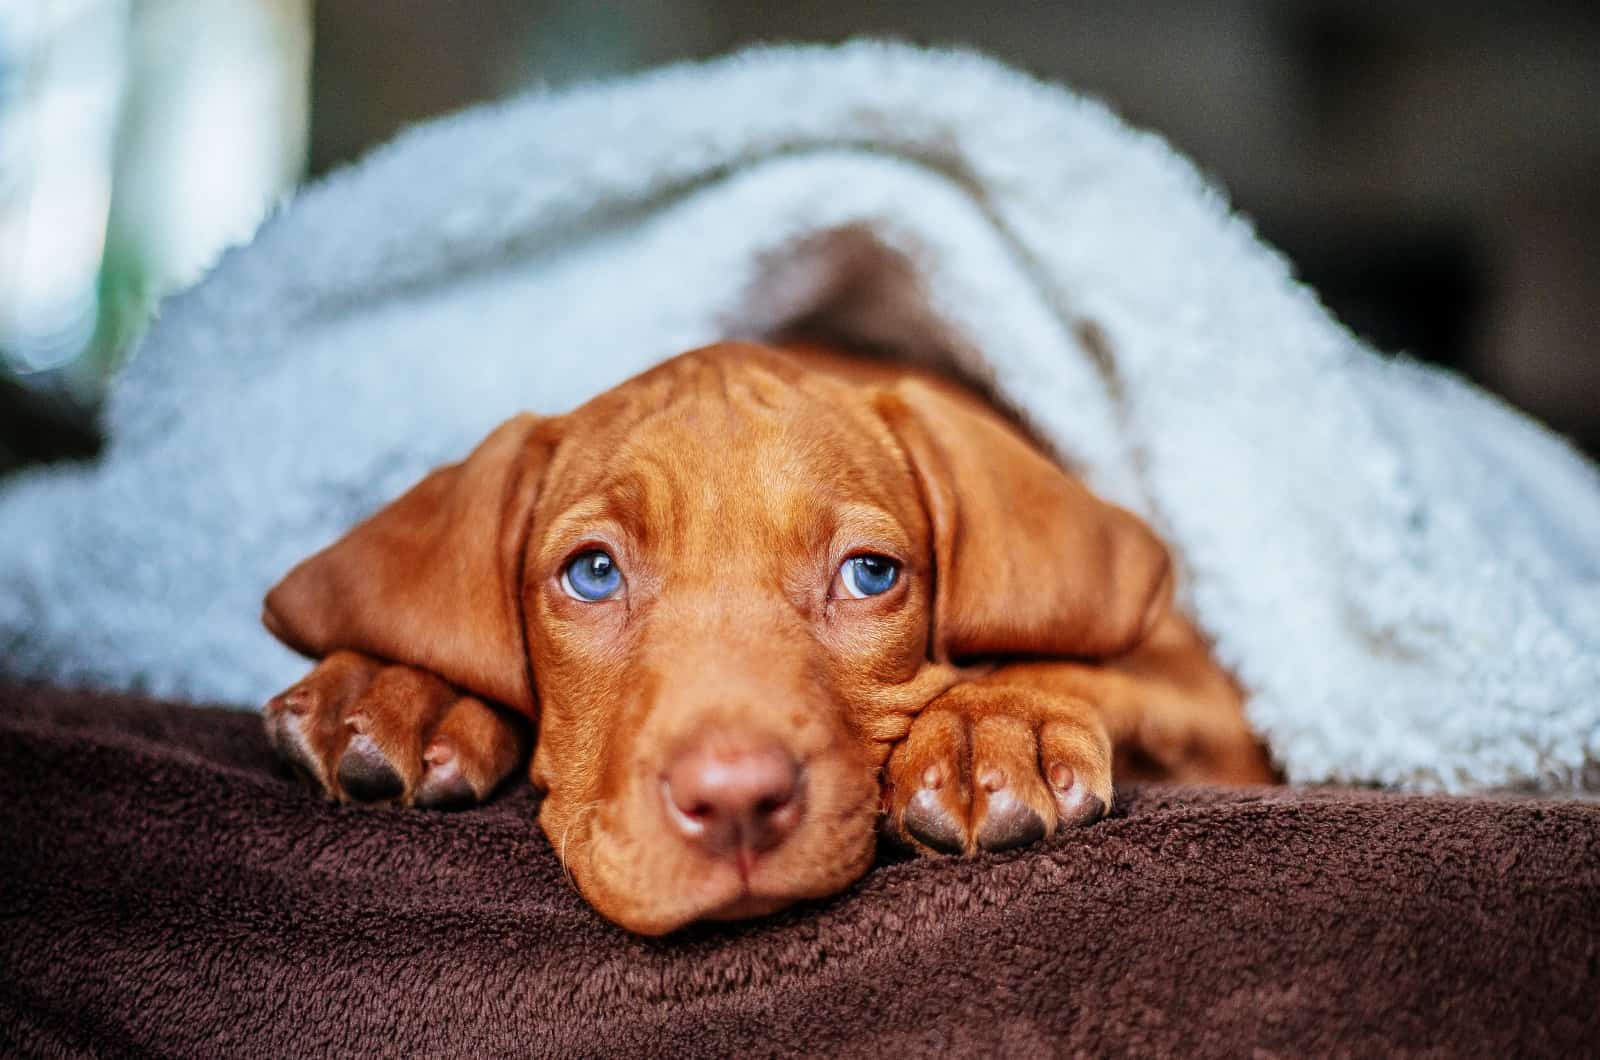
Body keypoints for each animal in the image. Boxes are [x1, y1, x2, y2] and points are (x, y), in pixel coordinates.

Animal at [265, 342, 1273, 941]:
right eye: (592, 573)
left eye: (869, 574)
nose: (736, 801)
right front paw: (396, 684)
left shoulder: (1218, 702)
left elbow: (1079, 660)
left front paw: (994, 723)